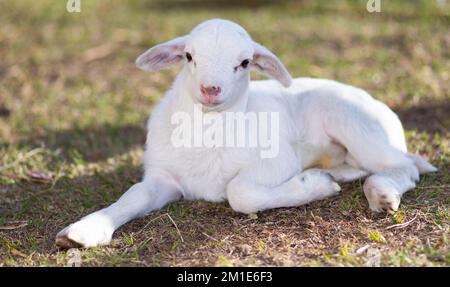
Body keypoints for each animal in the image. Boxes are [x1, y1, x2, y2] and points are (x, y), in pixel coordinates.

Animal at [55, 18, 436, 249]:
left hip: (354, 122)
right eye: (188, 56)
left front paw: (313, 186)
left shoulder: (277, 162)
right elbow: (133, 196)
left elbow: (239, 193)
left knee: (404, 167)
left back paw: (380, 193)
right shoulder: (163, 177)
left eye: (245, 63)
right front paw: (85, 230)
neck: (208, 132)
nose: (210, 89)